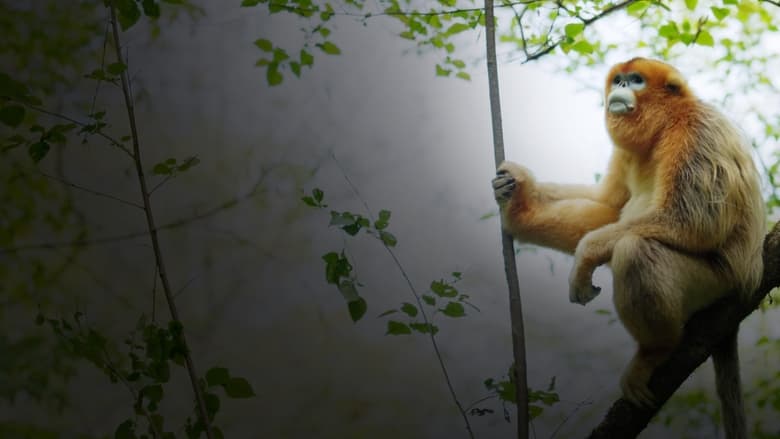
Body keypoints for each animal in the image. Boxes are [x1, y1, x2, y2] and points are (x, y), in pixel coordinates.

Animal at [492, 58, 765, 438]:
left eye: (636, 81)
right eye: (619, 80)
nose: (621, 88)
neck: (665, 126)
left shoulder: (697, 130)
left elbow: (696, 222)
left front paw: (585, 256)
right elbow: (607, 207)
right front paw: (519, 202)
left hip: (720, 283)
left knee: (636, 250)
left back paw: (655, 351)